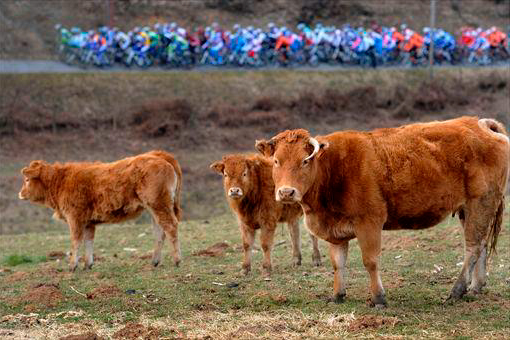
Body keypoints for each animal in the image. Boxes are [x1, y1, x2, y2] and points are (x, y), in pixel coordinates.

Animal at [19, 151, 183, 270]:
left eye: (27, 180)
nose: (20, 193)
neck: (60, 182)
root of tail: (159, 155)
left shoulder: (75, 218)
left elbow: (75, 241)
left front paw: (72, 265)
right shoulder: (88, 222)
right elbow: (88, 241)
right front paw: (88, 264)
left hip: (159, 204)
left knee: (170, 226)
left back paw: (177, 260)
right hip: (154, 208)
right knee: (159, 231)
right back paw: (155, 261)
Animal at [256, 116, 508, 306]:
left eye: (305, 161)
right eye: (276, 161)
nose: (286, 192)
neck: (333, 169)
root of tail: (480, 123)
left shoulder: (369, 222)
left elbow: (370, 261)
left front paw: (378, 298)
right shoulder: (336, 231)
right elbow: (338, 263)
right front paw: (338, 295)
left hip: (481, 202)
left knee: (472, 247)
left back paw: (457, 289)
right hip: (469, 209)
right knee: (481, 244)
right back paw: (476, 287)